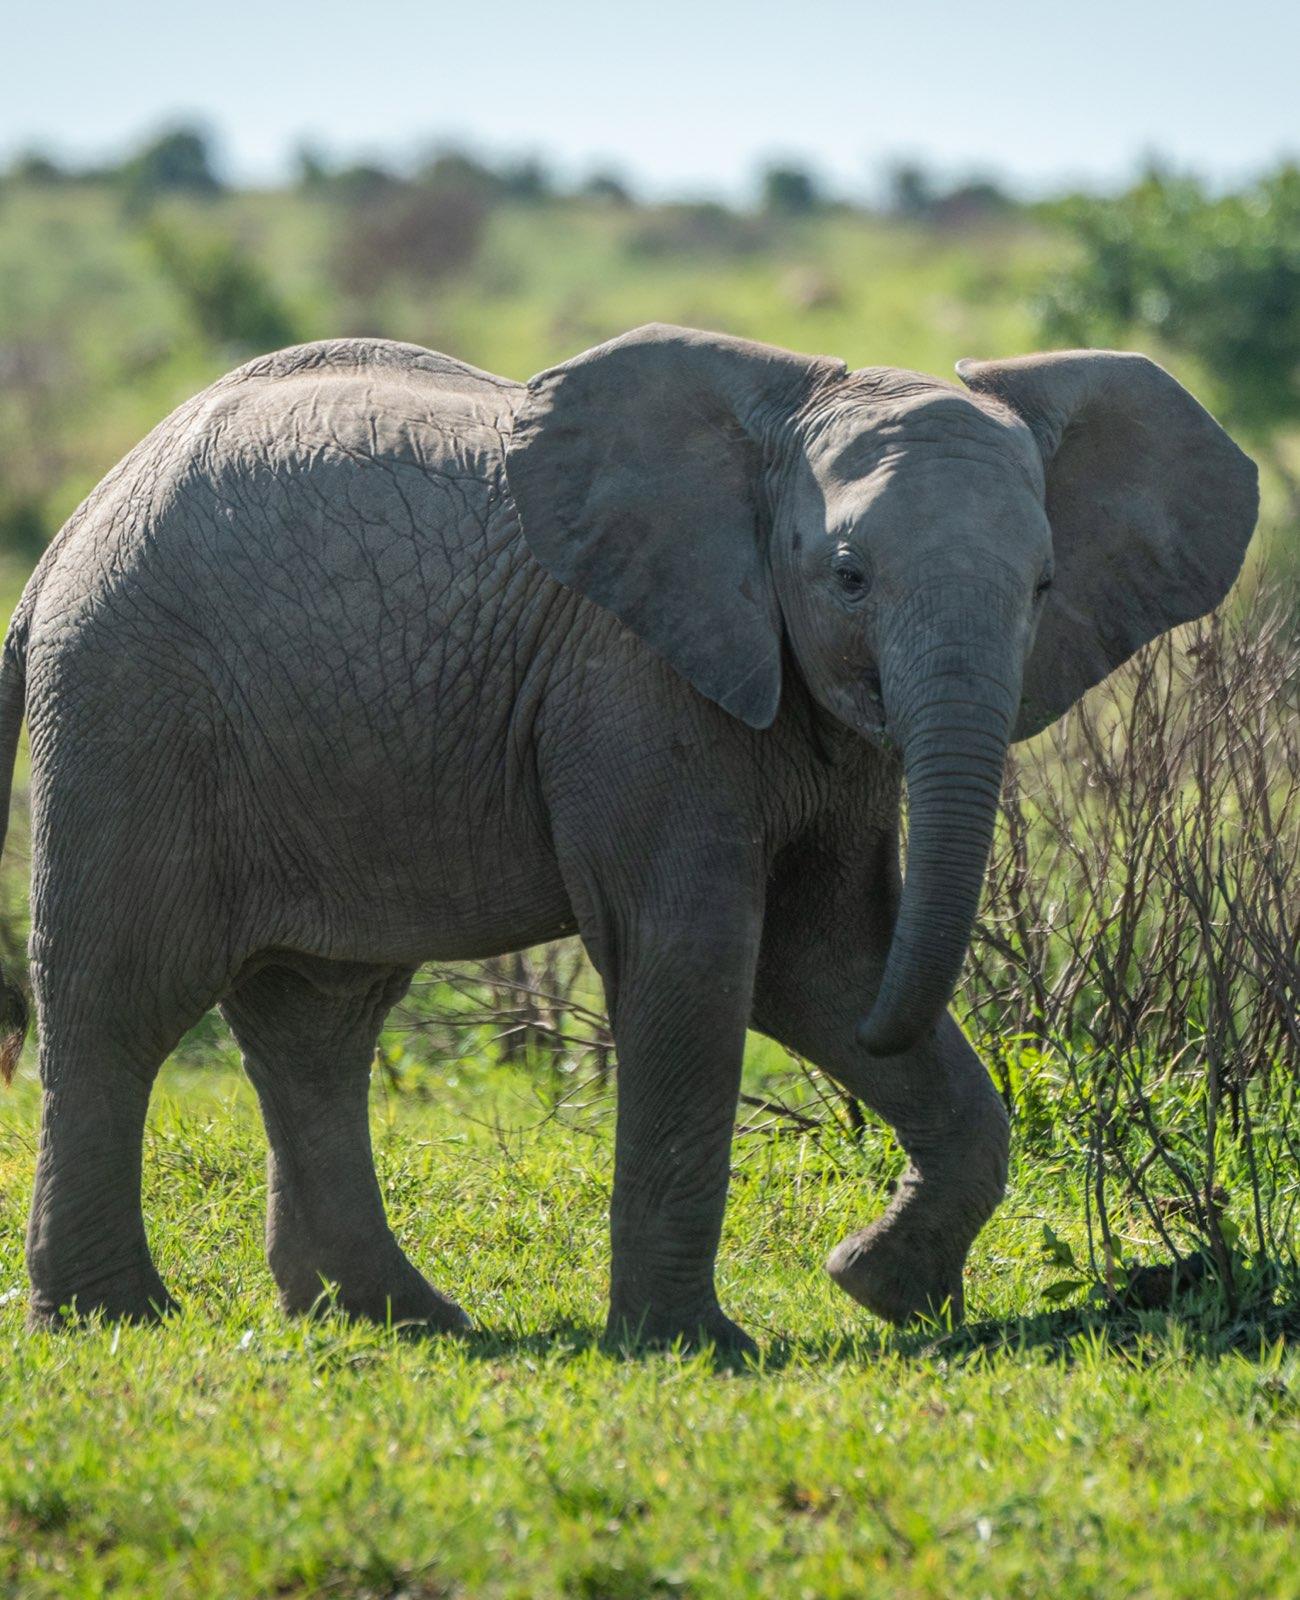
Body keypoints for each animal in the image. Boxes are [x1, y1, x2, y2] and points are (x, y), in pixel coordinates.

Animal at [0, 324, 1257, 1353]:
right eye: (847, 577)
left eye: (1044, 584)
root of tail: (67, 536)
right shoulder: (633, 681)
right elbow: (699, 956)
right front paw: (696, 1346)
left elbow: (822, 960)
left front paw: (880, 1288)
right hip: (130, 704)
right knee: (121, 998)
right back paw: (119, 1316)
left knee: (319, 1021)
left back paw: (396, 1319)